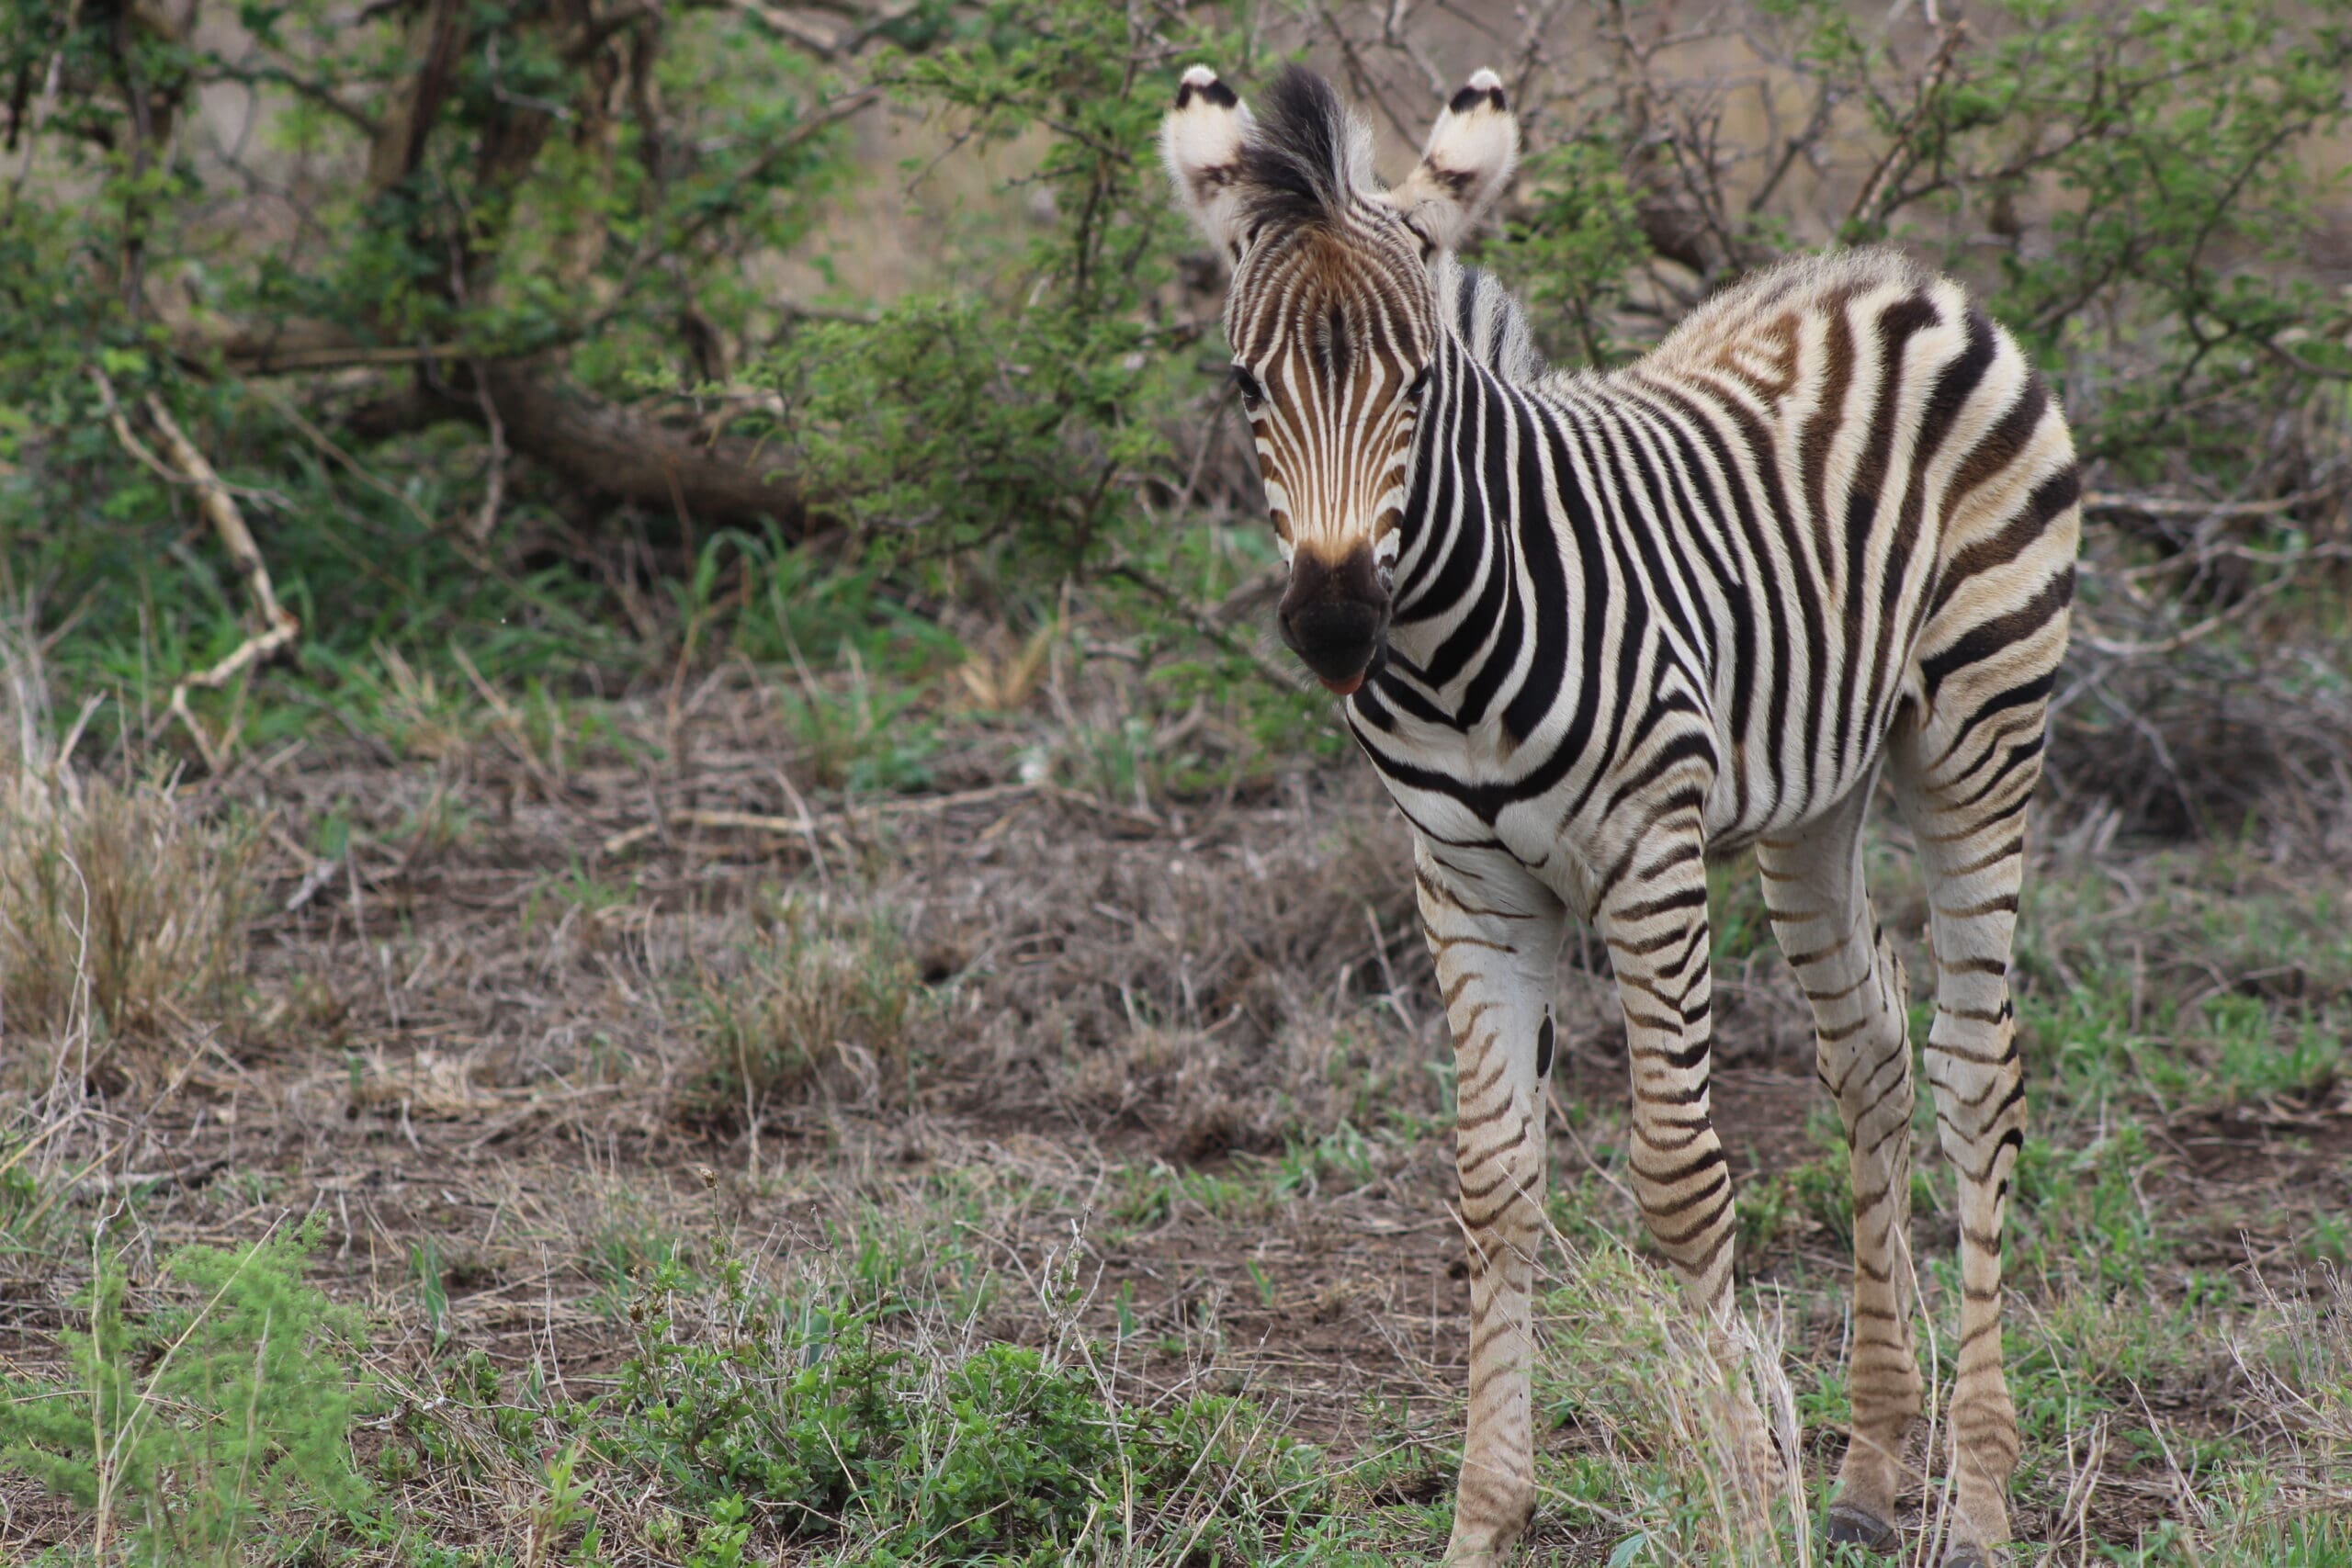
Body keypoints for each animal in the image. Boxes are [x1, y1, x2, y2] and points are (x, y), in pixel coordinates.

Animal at [1162, 63, 2078, 1567]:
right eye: (1247, 383)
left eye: (1421, 381)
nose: (1334, 623)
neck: (1452, 644)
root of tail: (1900, 281)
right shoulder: (1464, 879)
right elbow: (1494, 1184)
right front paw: (1486, 1521)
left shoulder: (1650, 853)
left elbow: (1678, 1180)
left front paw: (1750, 1499)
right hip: (1814, 800)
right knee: (1870, 1060)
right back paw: (1875, 1463)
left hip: (1980, 736)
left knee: (1975, 1072)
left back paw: (1985, 1503)